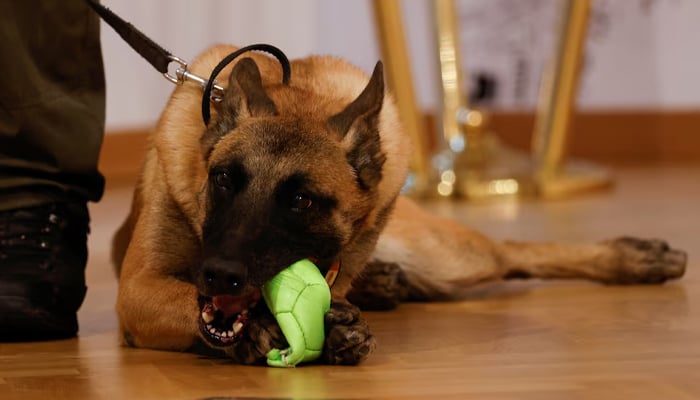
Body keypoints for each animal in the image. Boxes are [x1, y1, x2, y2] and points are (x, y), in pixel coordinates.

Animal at [112, 44, 688, 366]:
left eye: (300, 200)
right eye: (224, 180)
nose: (221, 275)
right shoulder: (138, 290)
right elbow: (186, 301)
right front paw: (260, 328)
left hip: (447, 254)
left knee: (512, 251)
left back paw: (632, 257)